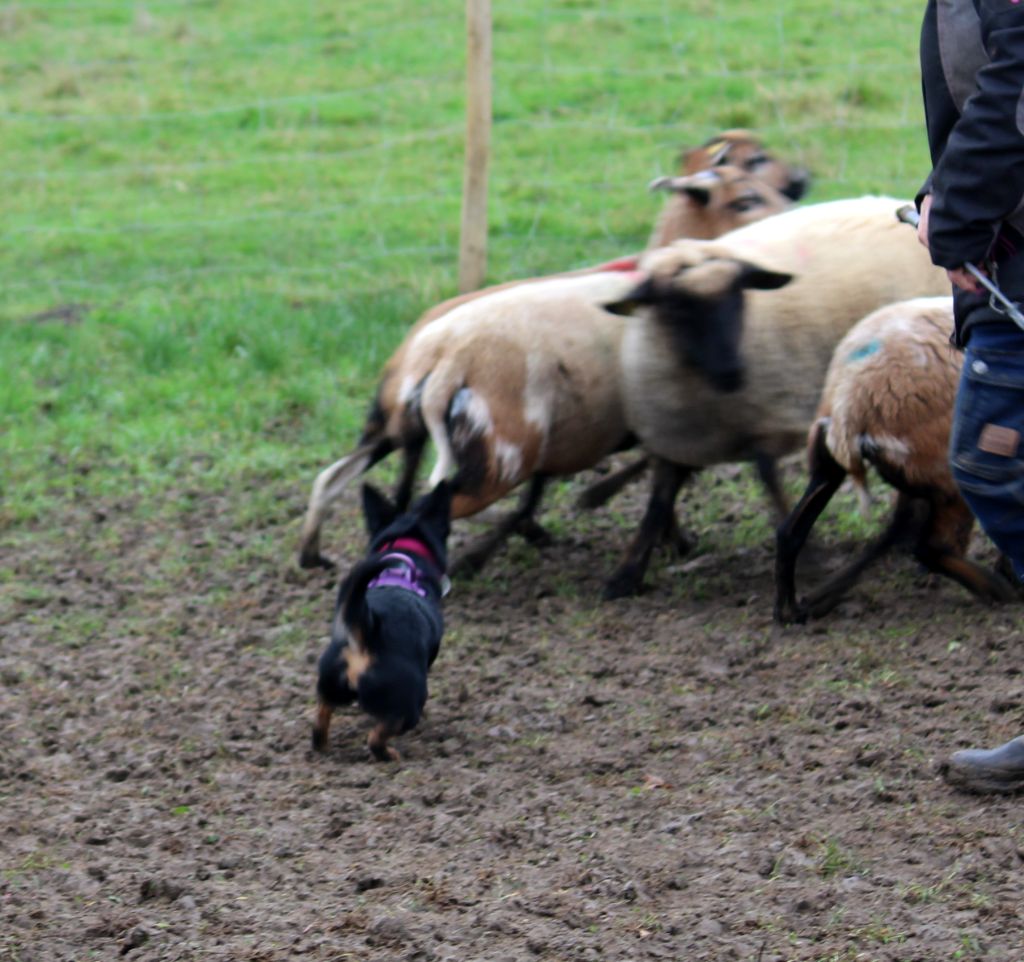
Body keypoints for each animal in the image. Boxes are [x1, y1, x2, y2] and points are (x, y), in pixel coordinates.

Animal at [296, 164, 798, 573]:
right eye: (744, 199)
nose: (794, 208)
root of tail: (437, 360)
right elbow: (664, 473)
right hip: (494, 454)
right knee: (422, 503)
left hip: (393, 430)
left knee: (335, 480)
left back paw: (314, 555)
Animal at [311, 481, 452, 758]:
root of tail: (365, 629)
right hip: (409, 701)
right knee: (377, 737)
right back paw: (390, 755)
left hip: (329, 684)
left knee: (320, 720)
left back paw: (322, 746)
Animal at [598, 196, 950, 598]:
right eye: (676, 307)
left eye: (739, 297)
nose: (733, 371)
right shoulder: (677, 434)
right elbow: (659, 498)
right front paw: (626, 574)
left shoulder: (765, 419)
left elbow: (770, 480)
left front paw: (807, 559)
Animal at [770, 295, 1011, 622]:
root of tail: (849, 402)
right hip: (948, 469)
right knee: (932, 547)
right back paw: (999, 589)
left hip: (840, 462)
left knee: (790, 531)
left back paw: (794, 608)